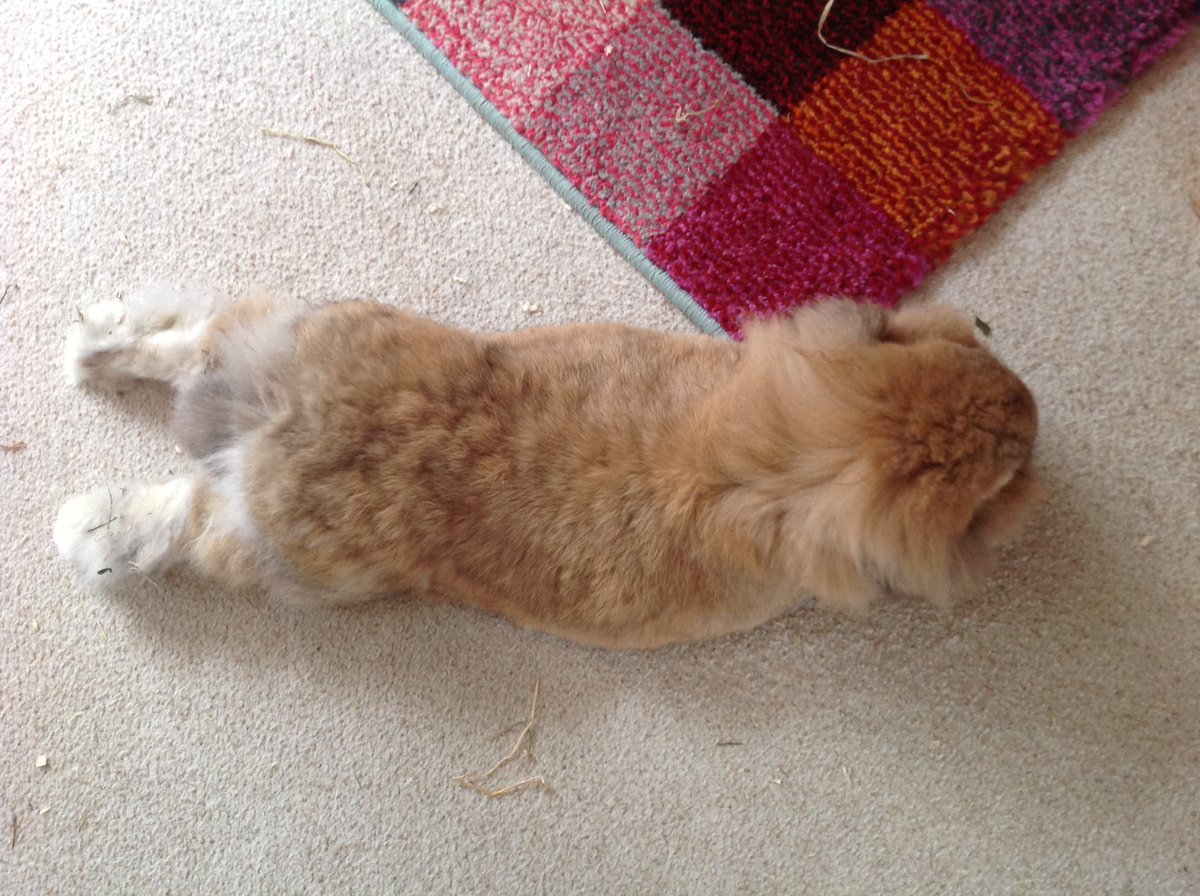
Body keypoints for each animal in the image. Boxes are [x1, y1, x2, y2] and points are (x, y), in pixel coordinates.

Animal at [53, 285, 1039, 649]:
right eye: (1004, 482)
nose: (1032, 414)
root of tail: (288, 424)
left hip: (307, 324)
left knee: (183, 350)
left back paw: (91, 351)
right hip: (304, 563)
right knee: (178, 523)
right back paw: (84, 528)